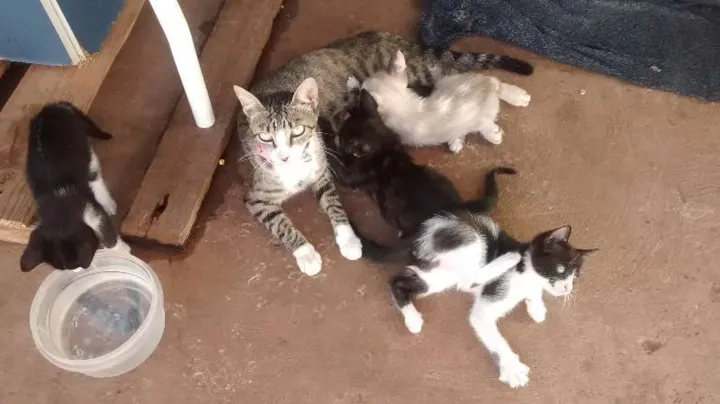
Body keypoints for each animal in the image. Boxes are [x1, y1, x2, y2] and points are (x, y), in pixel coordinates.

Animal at [20, 102, 130, 272]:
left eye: (78, 263)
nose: (78, 270)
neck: (58, 211)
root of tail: (52, 107)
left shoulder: (90, 210)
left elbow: (107, 233)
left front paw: (124, 250)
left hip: (84, 147)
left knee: (94, 175)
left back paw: (107, 202)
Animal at [353, 171, 597, 389]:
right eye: (561, 269)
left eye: (575, 277)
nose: (567, 289)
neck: (526, 272)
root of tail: (419, 232)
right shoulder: (491, 301)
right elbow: (491, 333)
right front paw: (512, 367)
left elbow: (534, 294)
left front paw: (537, 308)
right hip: (469, 238)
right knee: (466, 281)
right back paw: (506, 260)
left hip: (438, 275)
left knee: (399, 282)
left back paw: (412, 319)